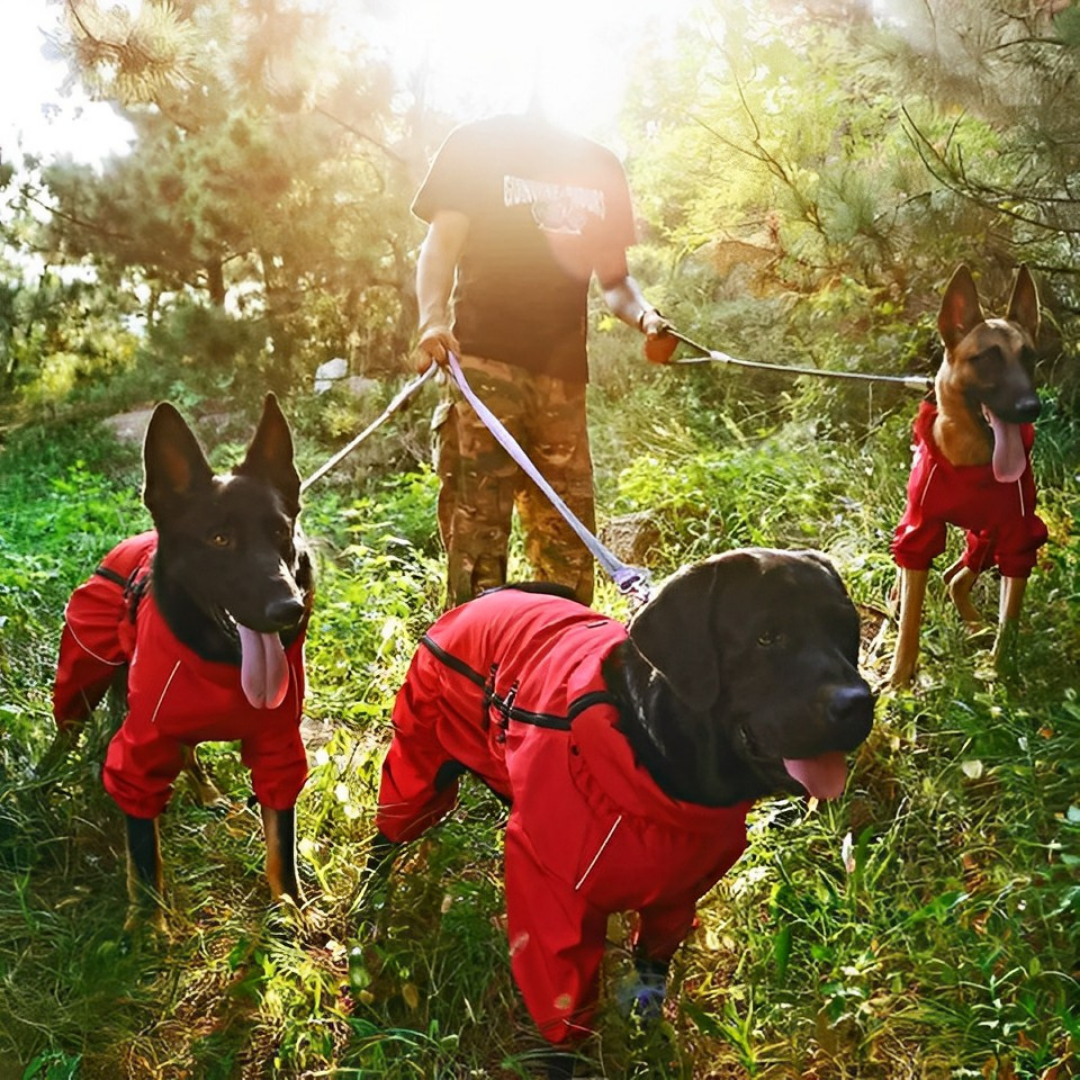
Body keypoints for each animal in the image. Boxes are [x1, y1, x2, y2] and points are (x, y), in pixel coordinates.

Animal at [52, 397, 313, 928]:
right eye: (219, 540)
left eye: (281, 531)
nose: (289, 609)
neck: (223, 664)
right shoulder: (140, 750)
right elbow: (144, 853)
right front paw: (148, 930)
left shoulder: (279, 746)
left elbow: (282, 839)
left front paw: (289, 907)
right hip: (81, 687)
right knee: (63, 734)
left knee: (188, 751)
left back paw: (207, 792)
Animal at [367, 552, 872, 1075]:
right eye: (767, 636)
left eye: (845, 629)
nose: (858, 703)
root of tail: (484, 597)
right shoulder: (554, 914)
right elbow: (563, 1023)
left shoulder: (673, 902)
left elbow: (651, 982)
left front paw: (647, 1040)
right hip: (420, 768)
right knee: (384, 841)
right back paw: (370, 913)